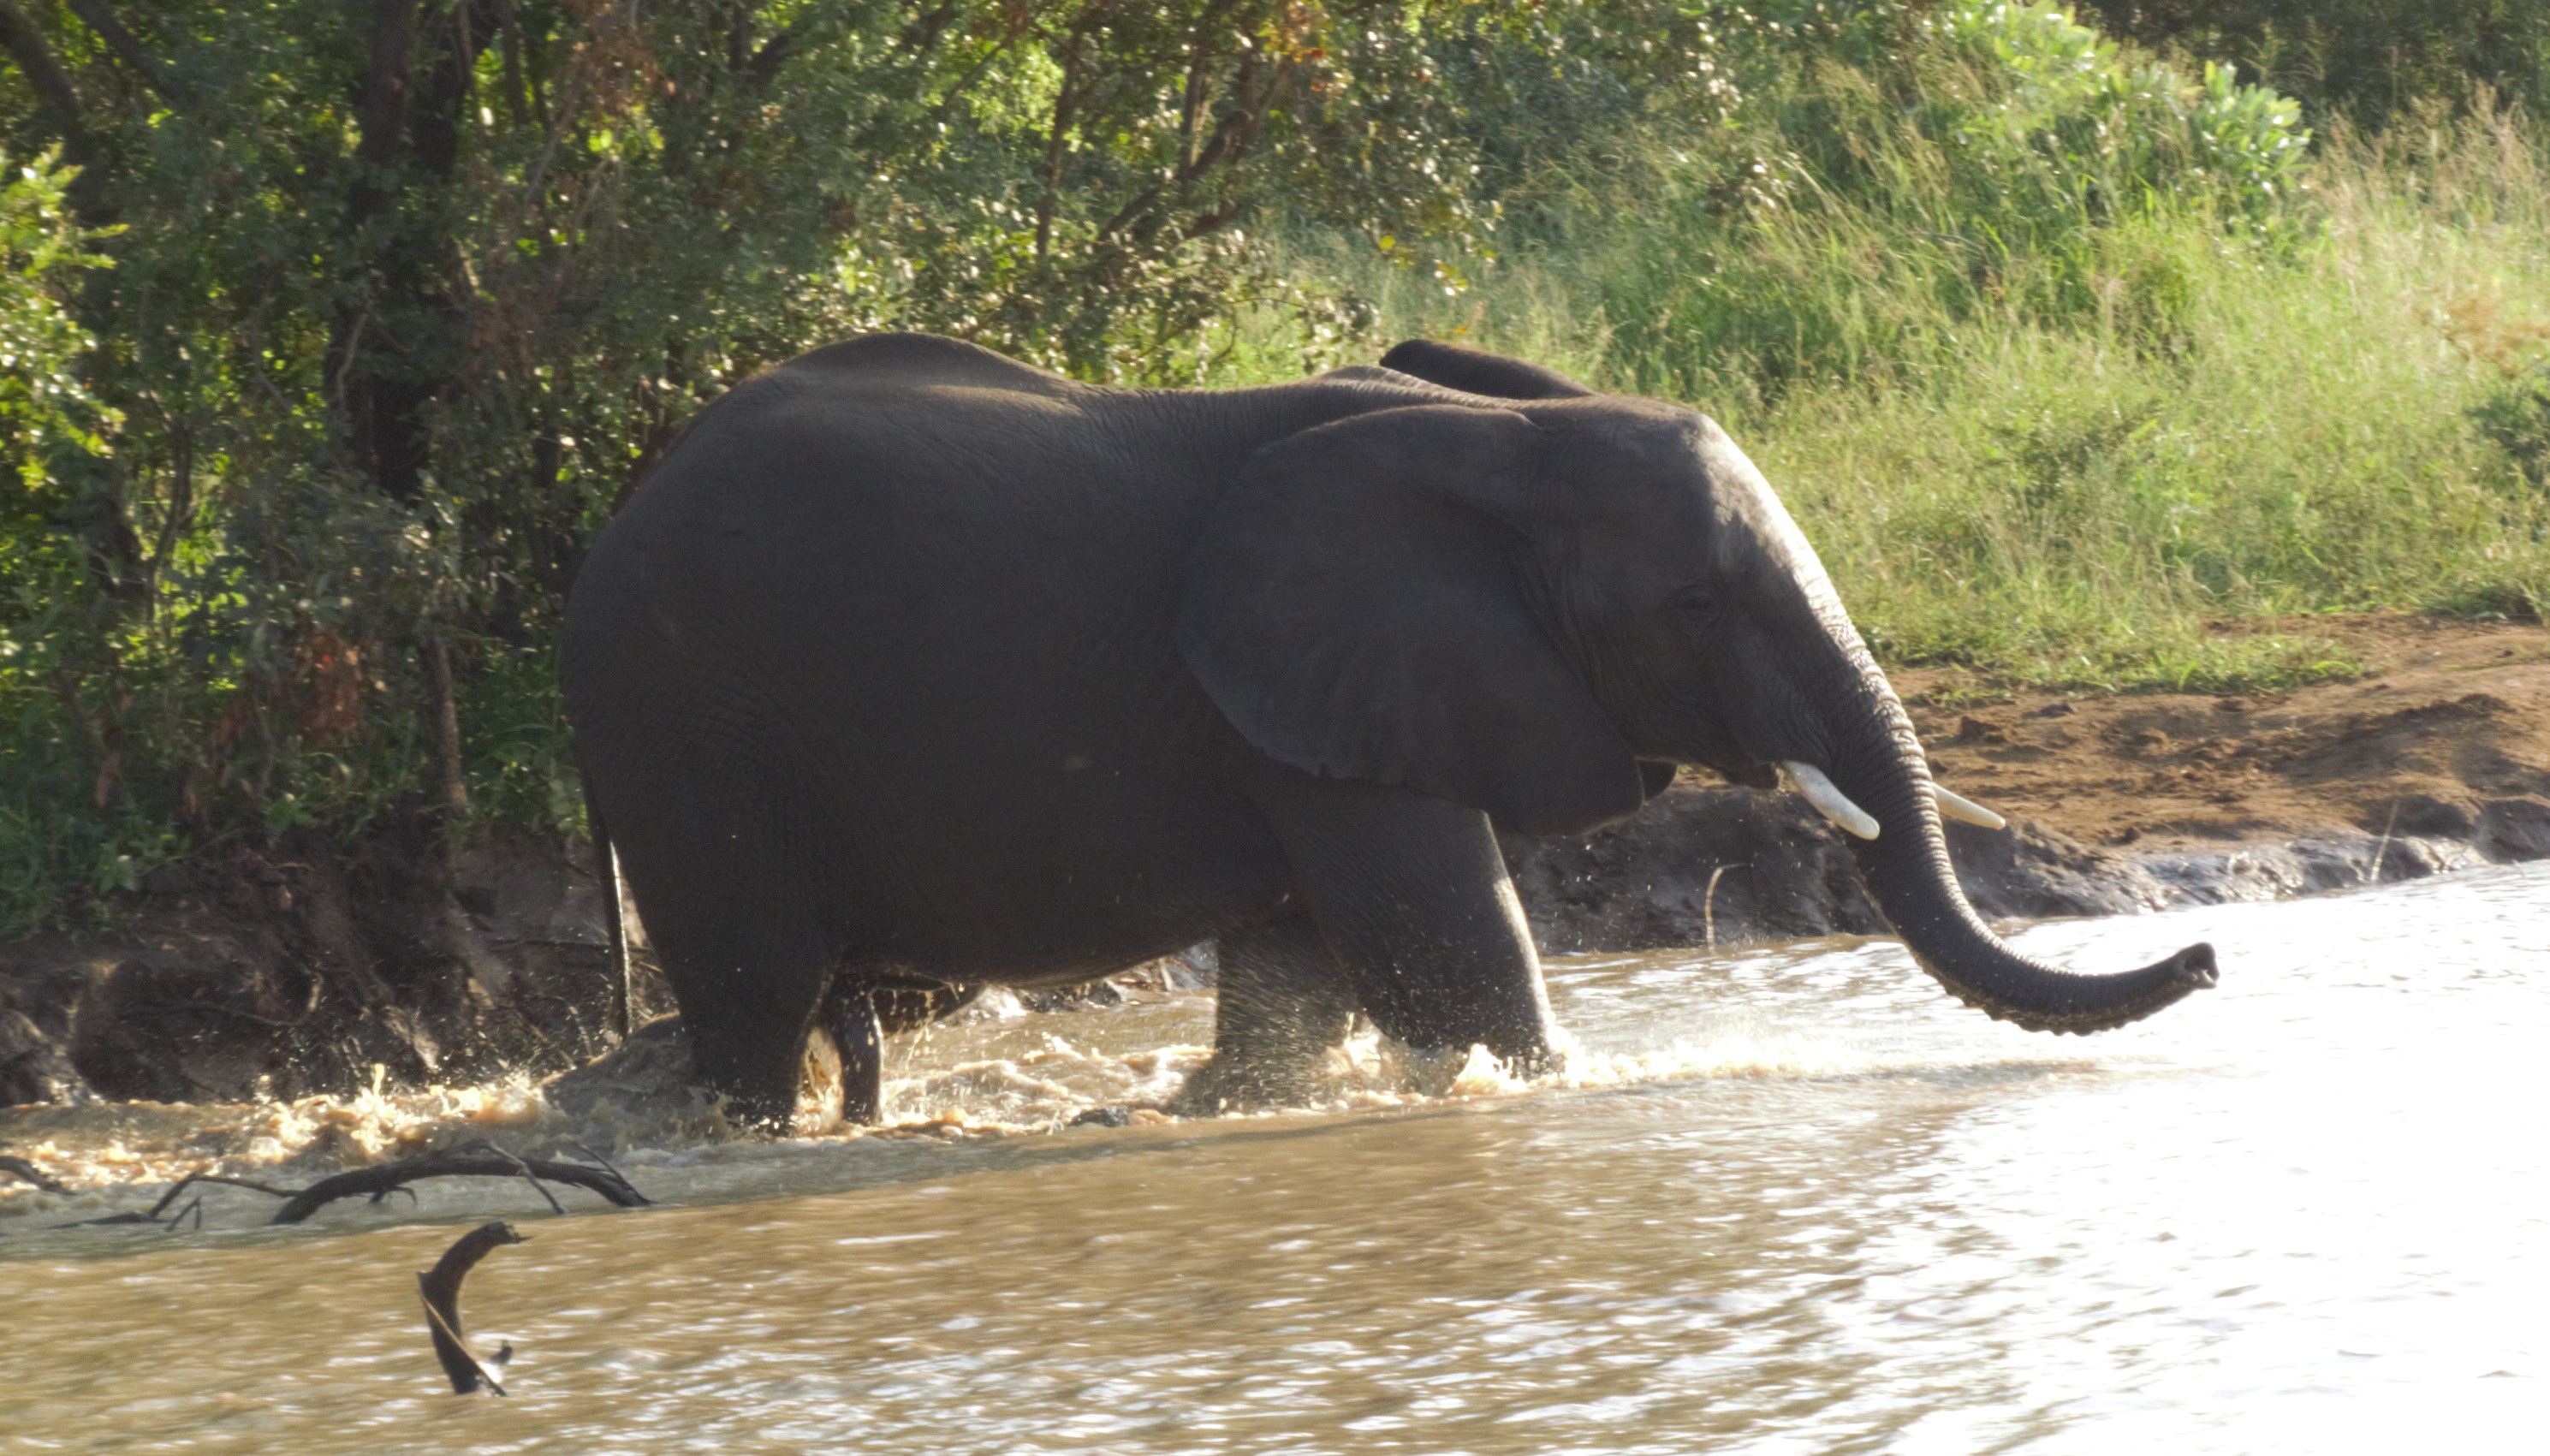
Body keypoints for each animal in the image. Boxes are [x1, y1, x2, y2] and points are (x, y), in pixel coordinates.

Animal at [562, 332, 2216, 1130]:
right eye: (1691, 603)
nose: (2204, 960)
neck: (1510, 440)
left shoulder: (1316, 711)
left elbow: (1303, 971)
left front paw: (1211, 1109)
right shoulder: (1309, 692)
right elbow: (1448, 951)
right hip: (686, 723)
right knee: (756, 996)